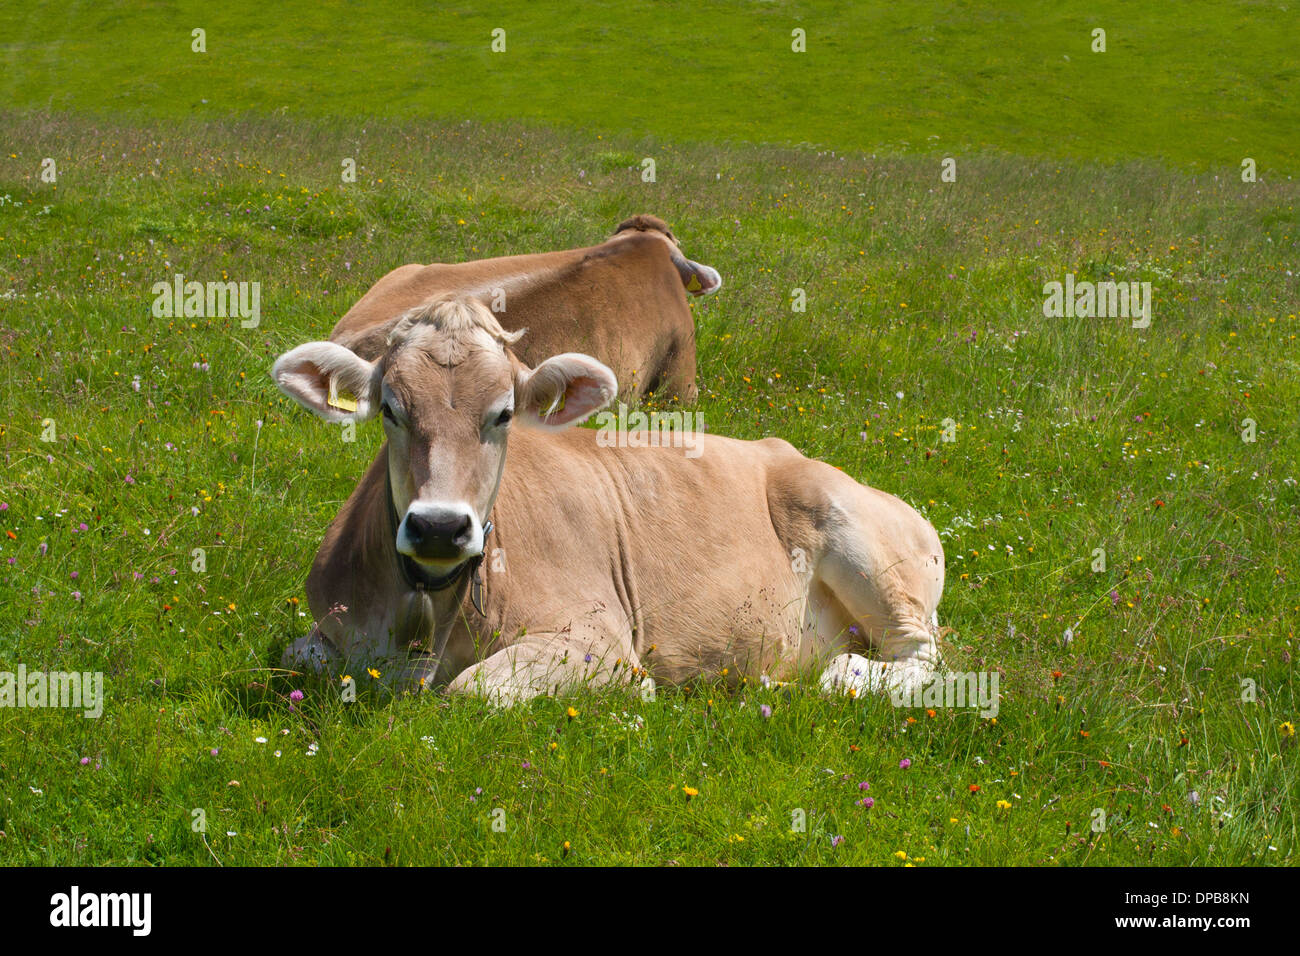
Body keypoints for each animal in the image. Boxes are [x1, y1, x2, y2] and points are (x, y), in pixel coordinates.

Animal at [272, 296, 946, 705]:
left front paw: (635, 695)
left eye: (504, 414)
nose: (439, 527)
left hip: (866, 551)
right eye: (391, 409)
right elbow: (298, 654)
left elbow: (471, 688)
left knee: (909, 658)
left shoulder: (597, 637)